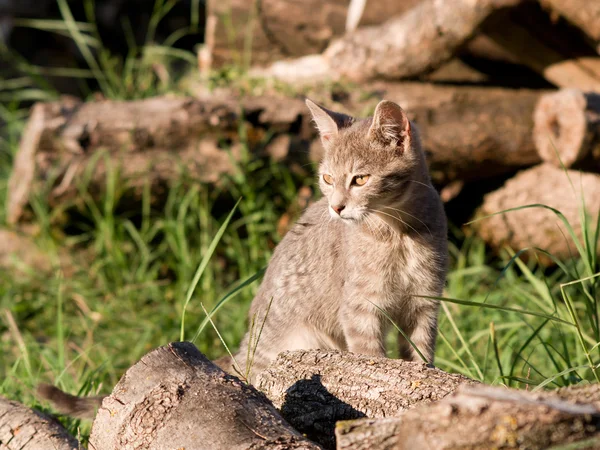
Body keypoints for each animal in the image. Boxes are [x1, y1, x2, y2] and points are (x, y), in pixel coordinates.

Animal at [36, 98, 446, 418]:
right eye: (328, 179)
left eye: (360, 179)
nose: (336, 207)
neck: (397, 234)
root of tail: (246, 345)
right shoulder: (359, 309)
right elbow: (373, 357)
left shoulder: (425, 303)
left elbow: (421, 356)